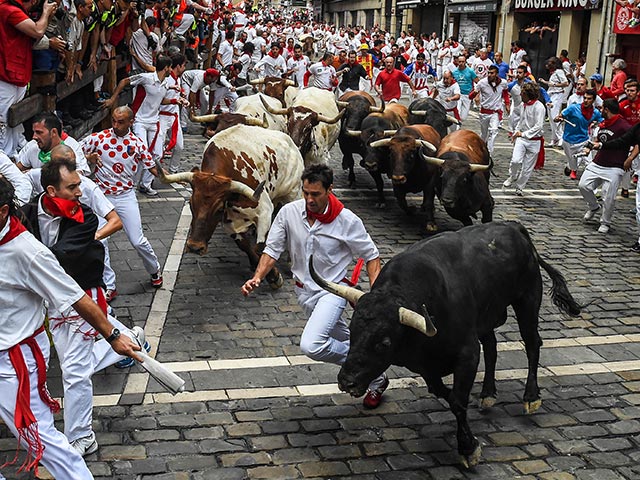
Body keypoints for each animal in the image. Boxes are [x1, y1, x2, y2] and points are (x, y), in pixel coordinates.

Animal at [308, 222, 584, 468]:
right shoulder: (427, 368)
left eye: (384, 342)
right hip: (486, 317)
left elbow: (458, 402)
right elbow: (446, 394)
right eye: (352, 330)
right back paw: (487, 394)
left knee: (532, 344)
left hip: (527, 299)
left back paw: (531, 397)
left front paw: (469, 448)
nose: (347, 381)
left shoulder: (467, 354)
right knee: (492, 348)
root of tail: (514, 227)